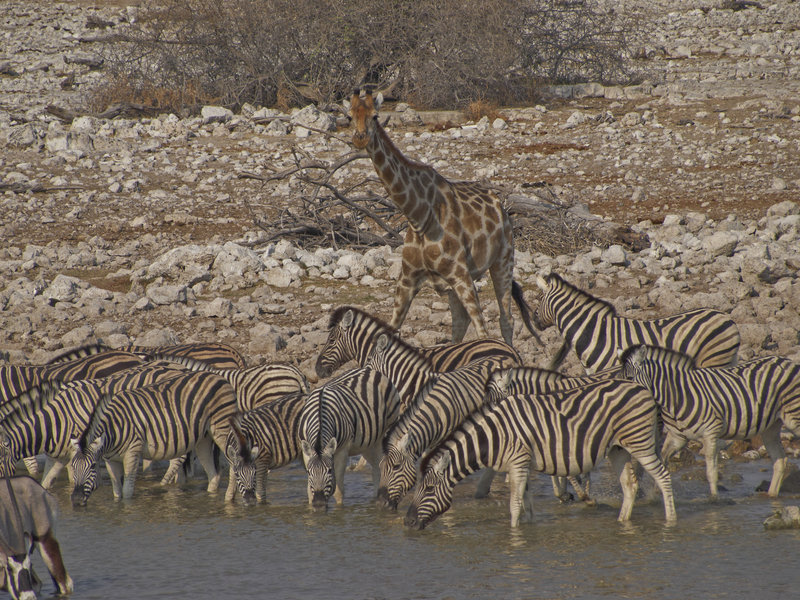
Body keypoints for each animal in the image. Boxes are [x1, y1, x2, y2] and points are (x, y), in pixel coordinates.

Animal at [69, 369, 239, 505]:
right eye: (73, 466)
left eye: (92, 466)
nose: (76, 500)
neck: (114, 429)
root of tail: (220, 377)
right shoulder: (111, 460)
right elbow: (117, 492)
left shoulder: (133, 452)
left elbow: (127, 491)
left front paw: (127, 509)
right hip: (204, 438)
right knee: (213, 474)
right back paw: (211, 498)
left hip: (222, 429)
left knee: (233, 462)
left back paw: (229, 498)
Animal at [298, 367, 403, 508]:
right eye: (309, 472)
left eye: (329, 471)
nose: (319, 503)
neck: (320, 412)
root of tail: (370, 370)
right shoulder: (306, 453)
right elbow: (309, 491)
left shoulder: (342, 451)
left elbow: (338, 492)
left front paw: (339, 510)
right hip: (368, 442)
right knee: (377, 467)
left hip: (386, 429)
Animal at [347, 89, 537, 345]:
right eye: (349, 116)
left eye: (375, 116)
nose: (360, 138)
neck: (418, 216)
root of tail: (502, 207)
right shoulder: (408, 279)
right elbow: (389, 330)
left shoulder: (461, 275)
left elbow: (483, 332)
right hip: (455, 284)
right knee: (460, 324)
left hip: (502, 260)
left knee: (505, 320)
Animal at [404, 378, 677, 529]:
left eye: (429, 489)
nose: (408, 522)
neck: (494, 436)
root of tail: (643, 388)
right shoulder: (521, 464)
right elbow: (526, 503)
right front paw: (528, 529)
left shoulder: (517, 462)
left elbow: (514, 505)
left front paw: (514, 534)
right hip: (618, 448)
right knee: (629, 485)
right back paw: (622, 523)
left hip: (640, 442)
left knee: (663, 476)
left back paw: (670, 522)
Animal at [619, 344, 800, 499]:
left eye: (629, 377)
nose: (623, 402)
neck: (677, 395)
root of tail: (787, 360)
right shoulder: (677, 437)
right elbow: (663, 461)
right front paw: (656, 494)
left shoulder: (711, 434)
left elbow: (711, 473)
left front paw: (714, 500)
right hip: (771, 426)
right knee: (780, 460)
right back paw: (771, 495)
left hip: (794, 417)